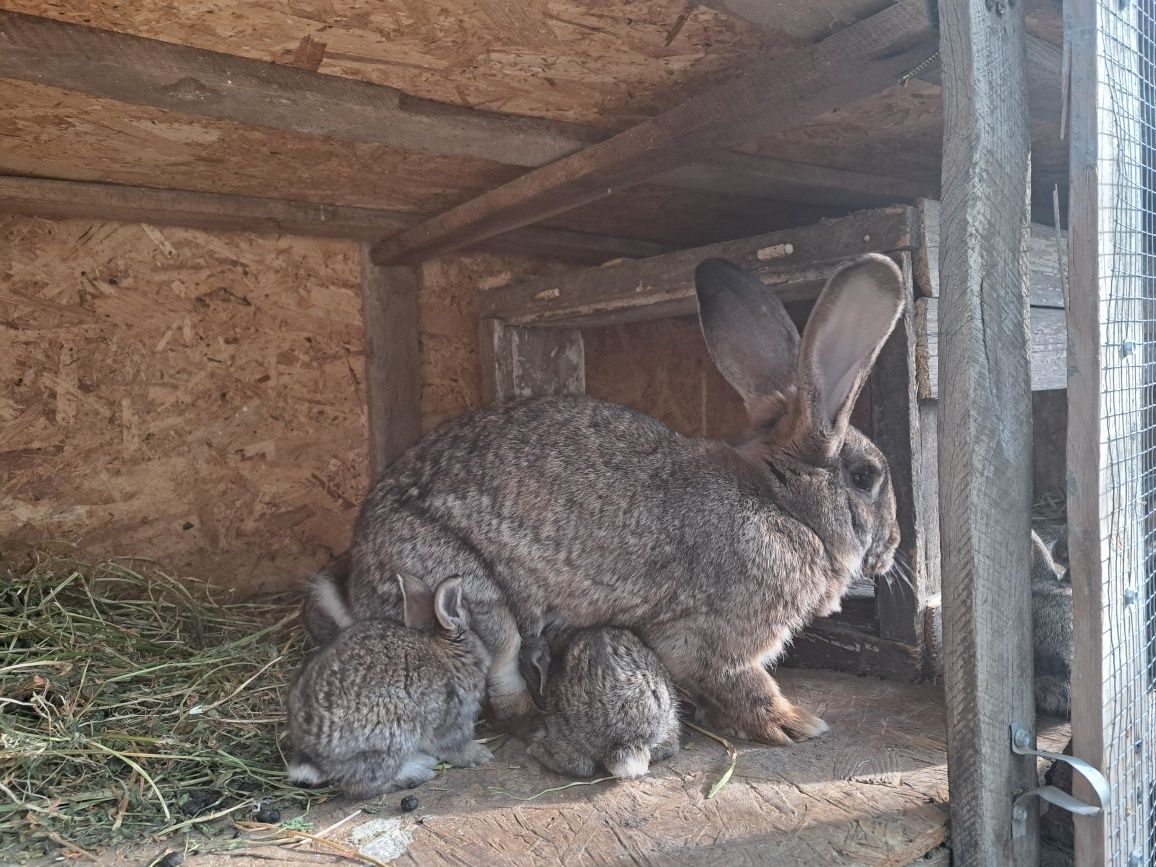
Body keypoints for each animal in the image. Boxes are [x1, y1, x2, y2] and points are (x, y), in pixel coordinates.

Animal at [287, 578, 492, 799]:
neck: (447, 654)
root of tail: (314, 755)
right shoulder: (452, 719)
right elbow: (453, 745)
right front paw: (479, 756)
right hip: (394, 734)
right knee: (362, 786)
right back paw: (417, 771)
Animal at [312, 253, 906, 749]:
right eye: (864, 477)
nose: (893, 548)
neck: (784, 506)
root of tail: (360, 587)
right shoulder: (710, 639)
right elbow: (745, 683)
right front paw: (793, 724)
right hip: (473, 597)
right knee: (501, 676)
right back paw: (533, 721)